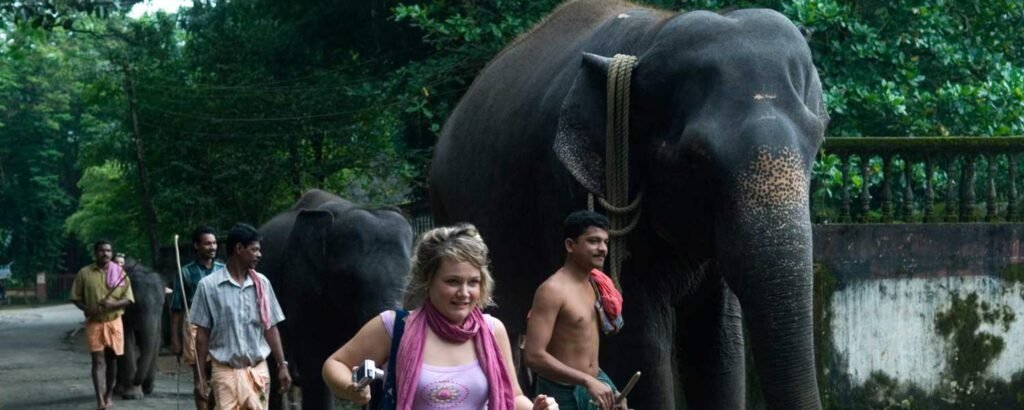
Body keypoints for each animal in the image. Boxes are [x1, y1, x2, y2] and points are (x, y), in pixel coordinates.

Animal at [113, 258, 163, 399]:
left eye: (162, 305)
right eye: (135, 306)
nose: (147, 388)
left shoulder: (158, 318)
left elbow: (156, 340)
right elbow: (125, 341)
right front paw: (133, 395)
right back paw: (119, 389)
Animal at [428, 1, 827, 407]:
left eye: (818, 136)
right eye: (695, 158)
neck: (653, 36)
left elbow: (719, 343)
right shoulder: (567, 187)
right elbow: (639, 344)